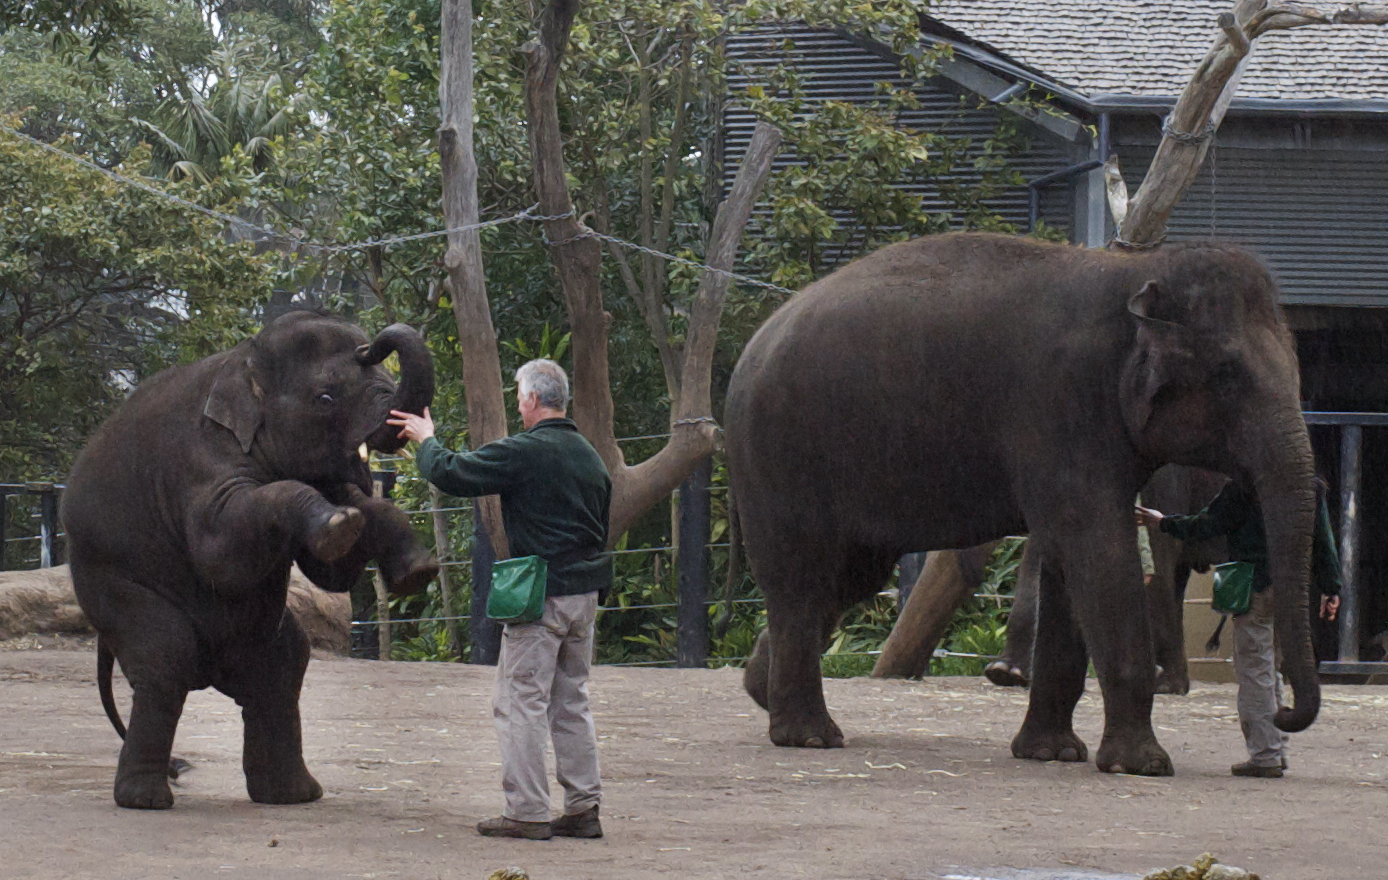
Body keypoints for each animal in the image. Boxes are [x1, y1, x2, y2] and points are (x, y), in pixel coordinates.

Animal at [62, 311, 438, 809]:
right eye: (324, 398)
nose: (372, 344)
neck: (242, 360)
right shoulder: (199, 462)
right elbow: (219, 551)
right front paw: (340, 523)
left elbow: (332, 570)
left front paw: (415, 570)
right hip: (109, 583)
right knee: (165, 659)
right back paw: (147, 799)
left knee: (283, 667)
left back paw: (292, 795)